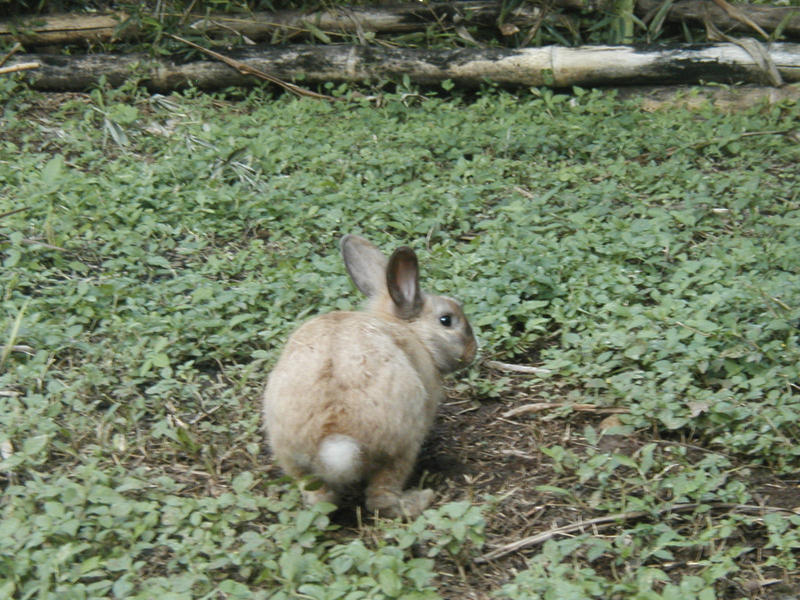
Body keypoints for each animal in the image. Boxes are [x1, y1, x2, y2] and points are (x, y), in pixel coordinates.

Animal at [262, 234, 477, 518]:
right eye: (446, 320)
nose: (472, 351)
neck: (413, 334)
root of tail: (335, 441)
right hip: (400, 449)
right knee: (381, 500)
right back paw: (421, 499)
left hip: (294, 461)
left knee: (320, 501)